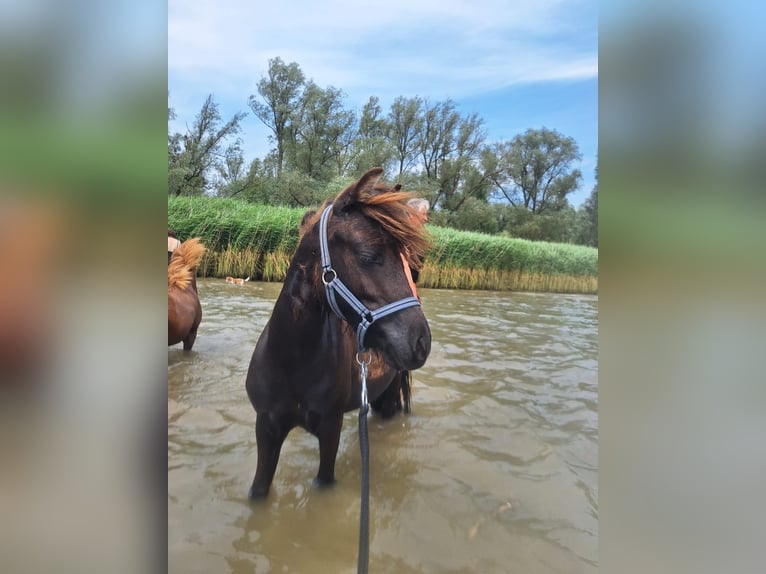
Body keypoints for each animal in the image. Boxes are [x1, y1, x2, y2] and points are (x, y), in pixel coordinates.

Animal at [246, 168, 432, 500]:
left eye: (408, 259)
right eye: (369, 255)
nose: (421, 341)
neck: (292, 361)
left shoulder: (329, 429)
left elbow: (324, 482)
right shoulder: (266, 427)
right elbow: (258, 491)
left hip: (388, 399)